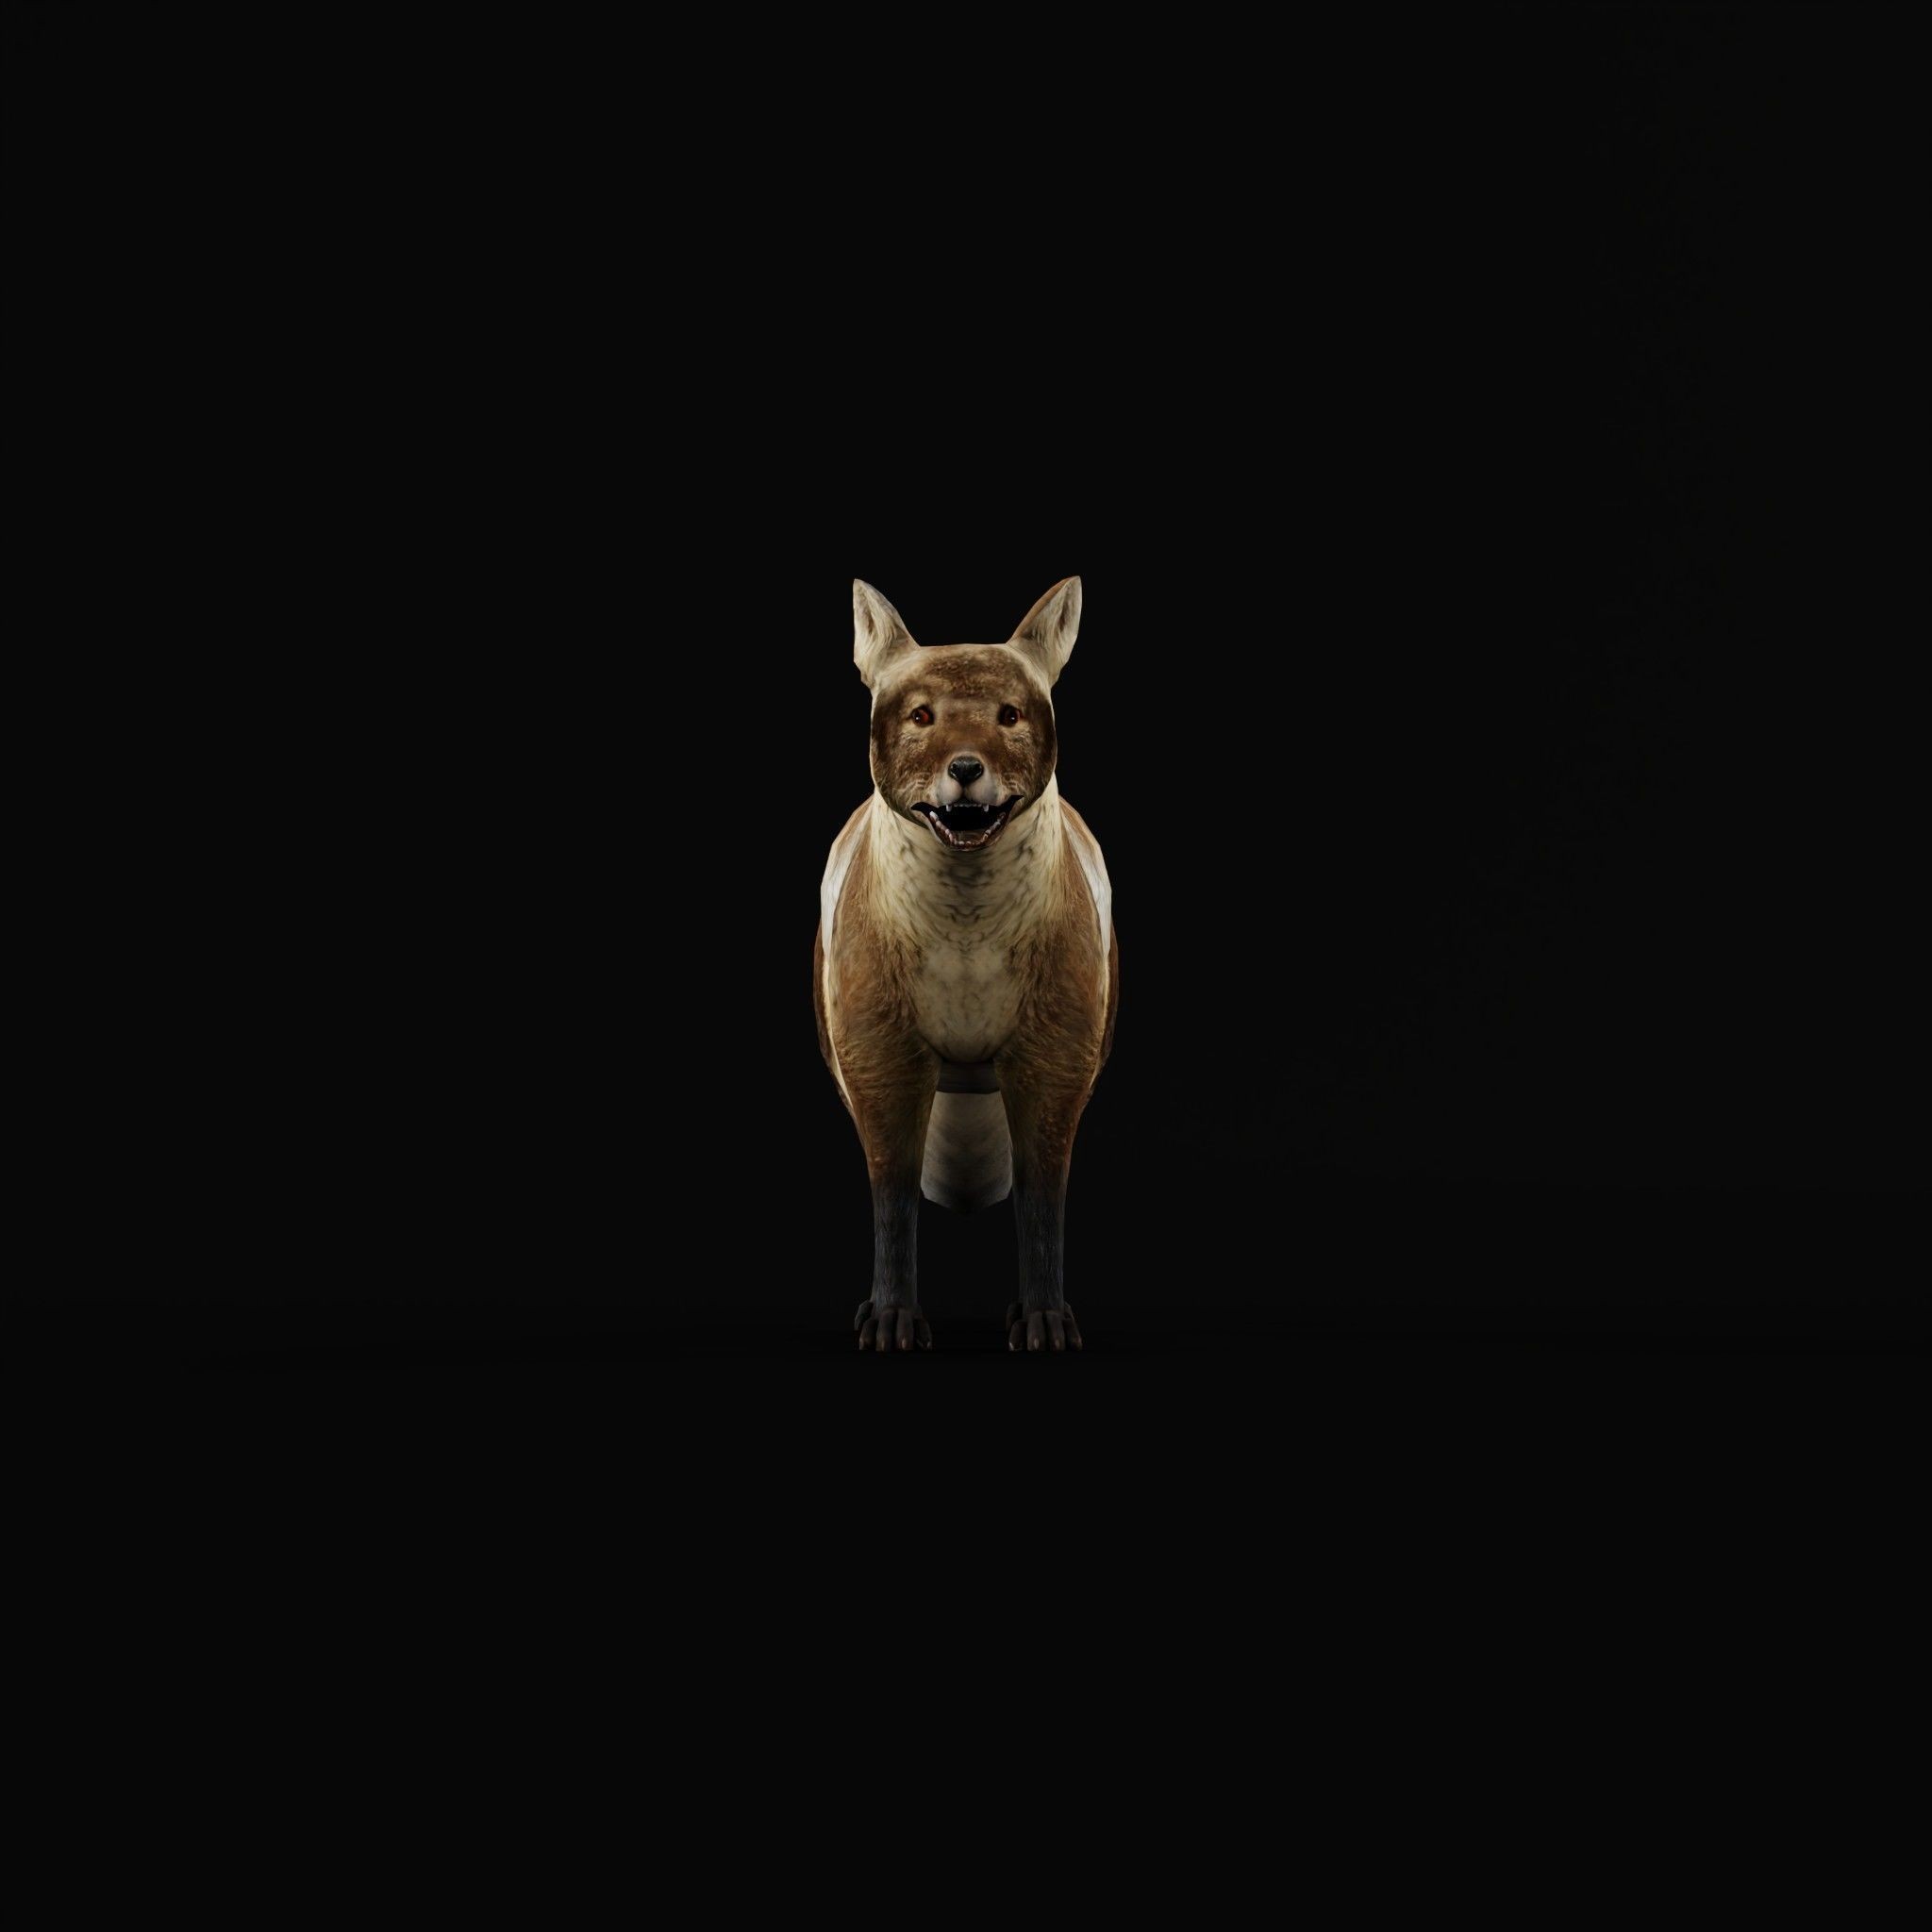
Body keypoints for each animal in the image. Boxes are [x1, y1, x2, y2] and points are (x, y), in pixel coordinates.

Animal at [814, 577, 1117, 1354]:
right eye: (922, 715)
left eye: (1009, 715)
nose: (966, 769)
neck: (966, 941)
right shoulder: (884, 1057)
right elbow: (893, 1200)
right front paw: (891, 1319)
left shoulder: (1053, 1057)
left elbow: (1041, 1204)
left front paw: (1043, 1319)